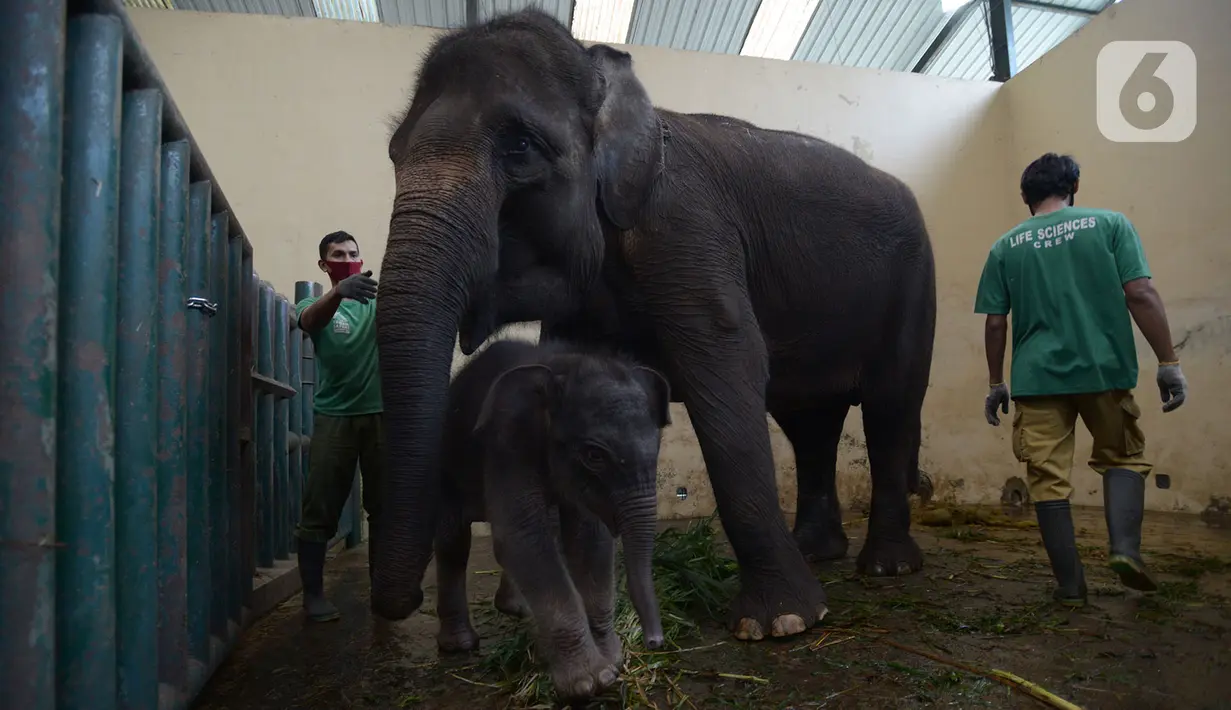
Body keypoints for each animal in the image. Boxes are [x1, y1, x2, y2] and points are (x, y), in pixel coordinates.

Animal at [373, 9, 938, 644]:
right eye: (393, 155)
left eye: (520, 146)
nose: (400, 604)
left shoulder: (687, 229)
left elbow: (731, 367)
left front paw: (780, 623)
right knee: (809, 422)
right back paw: (818, 552)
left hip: (915, 280)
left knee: (890, 406)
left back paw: (886, 567)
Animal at [432, 338, 670, 700]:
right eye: (594, 455)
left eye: (657, 447)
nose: (655, 642)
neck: (561, 364)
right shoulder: (508, 441)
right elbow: (523, 537)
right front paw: (589, 681)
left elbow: (589, 540)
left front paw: (611, 663)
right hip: (448, 460)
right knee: (453, 540)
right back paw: (460, 644)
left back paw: (516, 608)